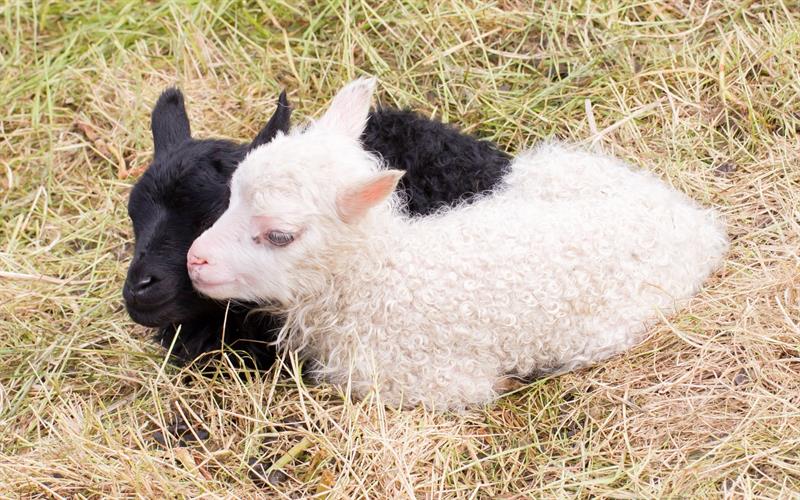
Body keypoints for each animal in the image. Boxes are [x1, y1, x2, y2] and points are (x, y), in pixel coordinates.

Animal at [184, 76, 728, 408]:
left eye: (280, 235)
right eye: (231, 194)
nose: (195, 261)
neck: (377, 279)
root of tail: (698, 223)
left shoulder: (435, 382)